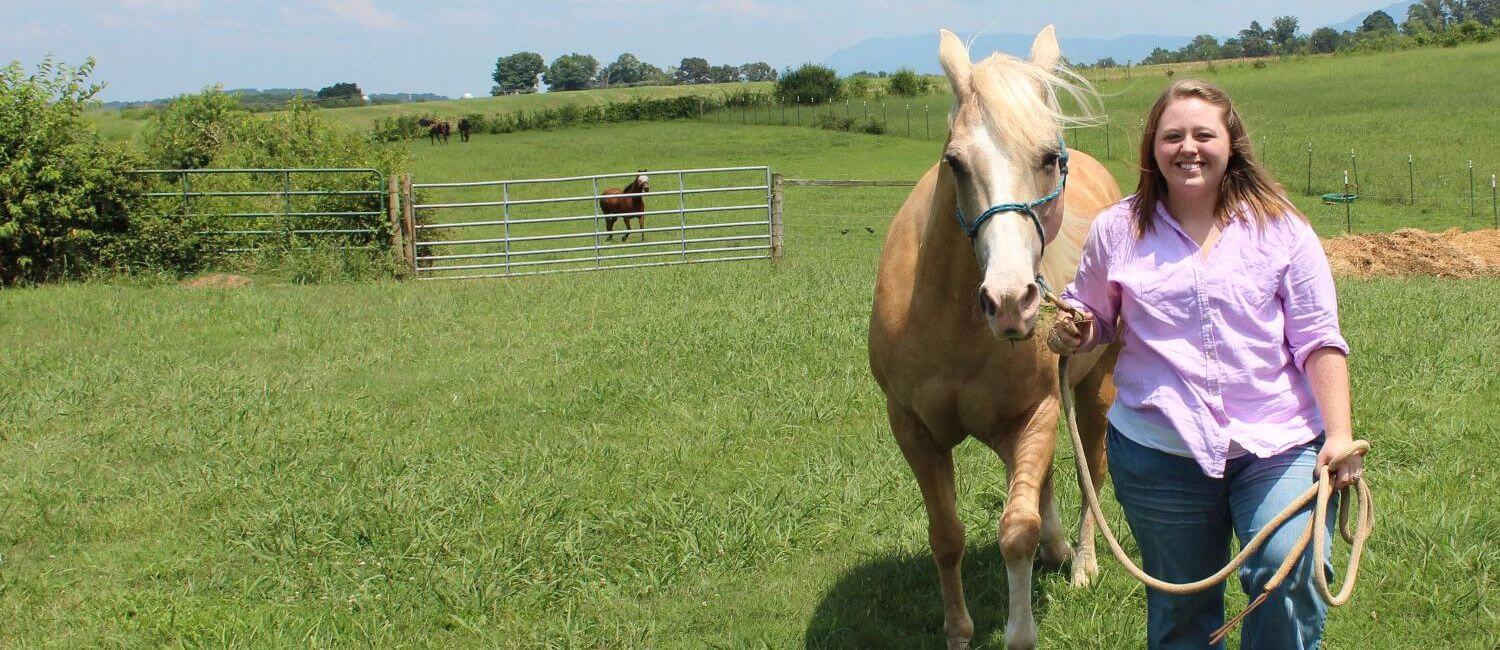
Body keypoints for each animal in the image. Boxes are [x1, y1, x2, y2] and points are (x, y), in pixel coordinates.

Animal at [868, 27, 1122, 649]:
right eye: (954, 162)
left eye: (1049, 157)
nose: (1010, 301)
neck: (951, 326)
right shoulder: (914, 430)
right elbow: (947, 535)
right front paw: (958, 631)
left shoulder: (1037, 413)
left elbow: (1016, 532)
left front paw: (1020, 629)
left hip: (1093, 392)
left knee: (1091, 471)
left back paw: (1082, 562)